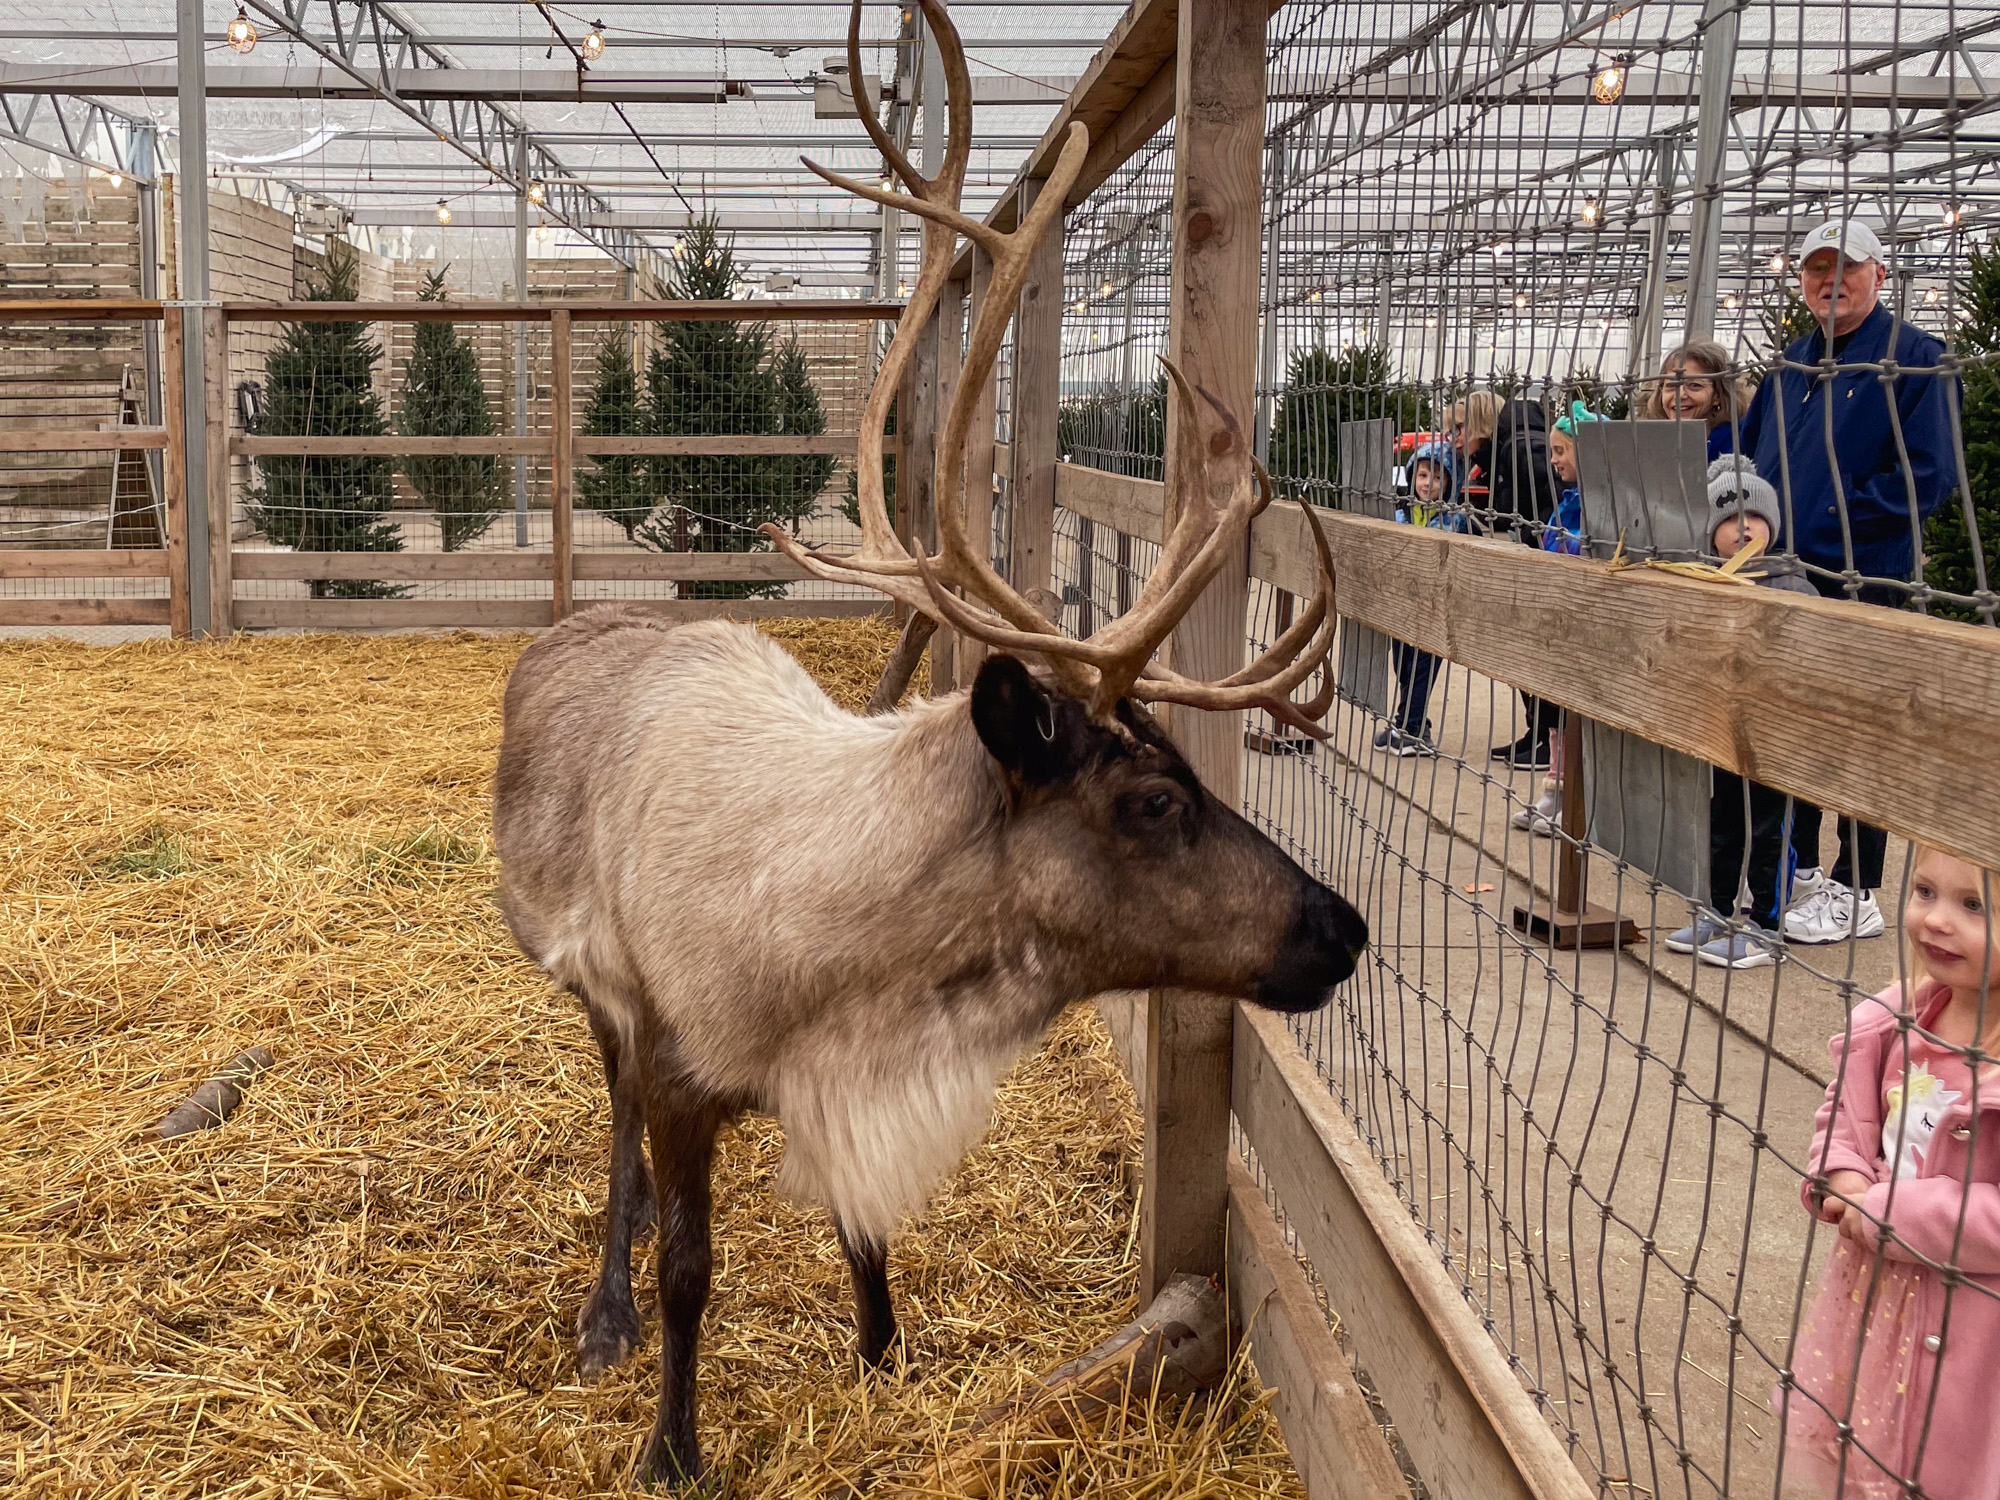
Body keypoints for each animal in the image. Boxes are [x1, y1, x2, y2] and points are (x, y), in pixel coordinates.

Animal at [491, 0, 1366, 1484]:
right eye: (1148, 799)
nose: (1342, 927)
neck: (847, 969)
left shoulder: (837, 1086)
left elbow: (866, 1221)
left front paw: (883, 1352)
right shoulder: (676, 1058)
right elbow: (690, 1268)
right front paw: (671, 1440)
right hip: (586, 985)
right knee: (607, 1125)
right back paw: (602, 1308)